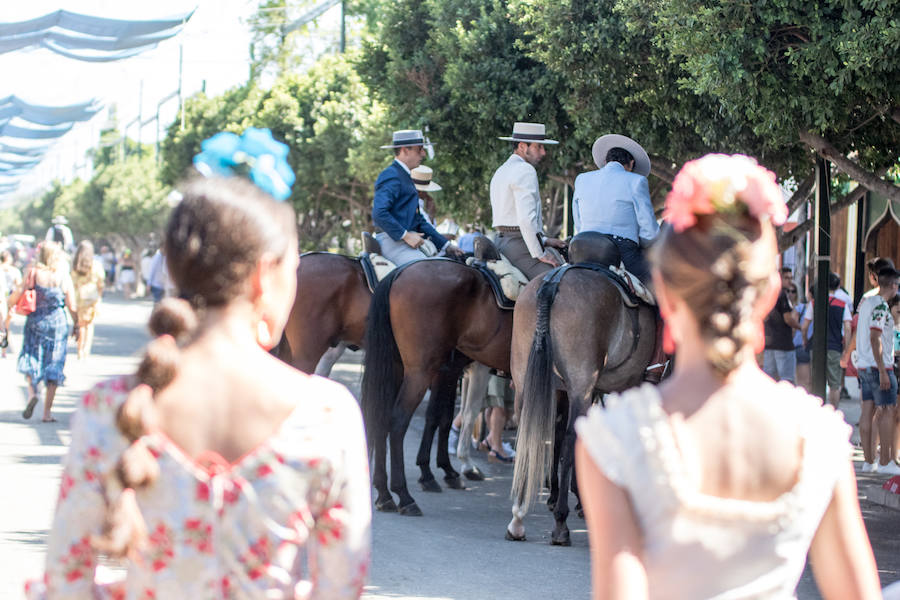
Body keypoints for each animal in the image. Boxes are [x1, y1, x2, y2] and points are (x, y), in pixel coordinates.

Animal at [360, 258, 512, 516]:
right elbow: (458, 415)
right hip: (418, 372)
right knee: (397, 421)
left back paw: (383, 494)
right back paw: (403, 495)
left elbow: (441, 416)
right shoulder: (463, 370)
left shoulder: (450, 371)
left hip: (396, 368)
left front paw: (440, 471)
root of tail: (399, 273)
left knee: (380, 417)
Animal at [506, 264, 652, 548]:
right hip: (579, 388)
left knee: (528, 438)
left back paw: (518, 518)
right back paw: (561, 523)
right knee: (570, 442)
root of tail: (552, 282)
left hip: (525, 383)